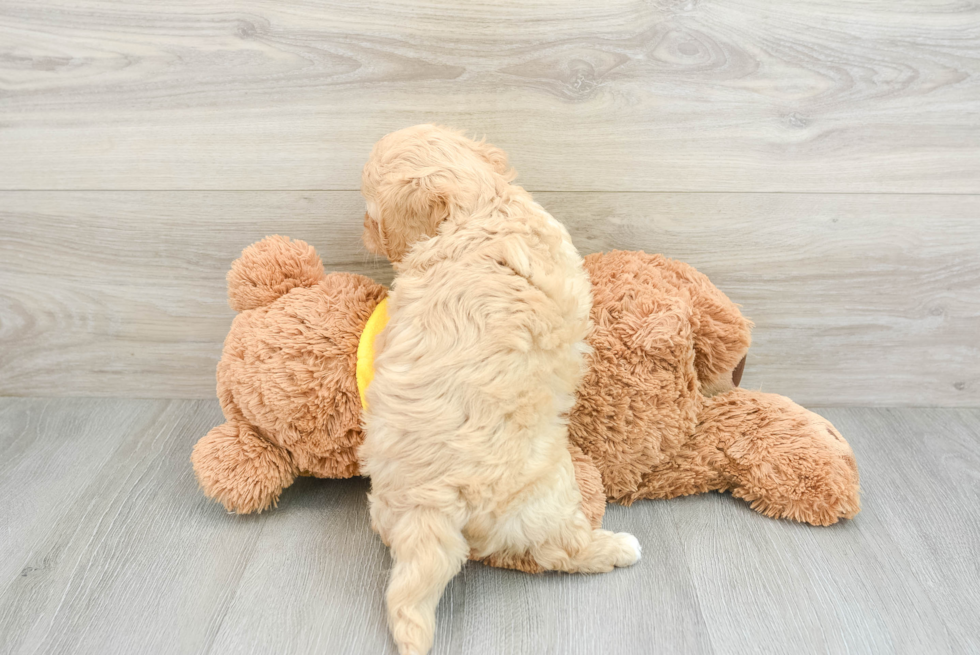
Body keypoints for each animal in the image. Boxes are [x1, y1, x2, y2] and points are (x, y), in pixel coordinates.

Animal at [360, 124, 644, 655]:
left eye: (370, 211)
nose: (364, 233)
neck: (480, 207)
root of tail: (431, 498)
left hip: (391, 506)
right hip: (552, 492)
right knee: (561, 552)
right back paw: (617, 547)